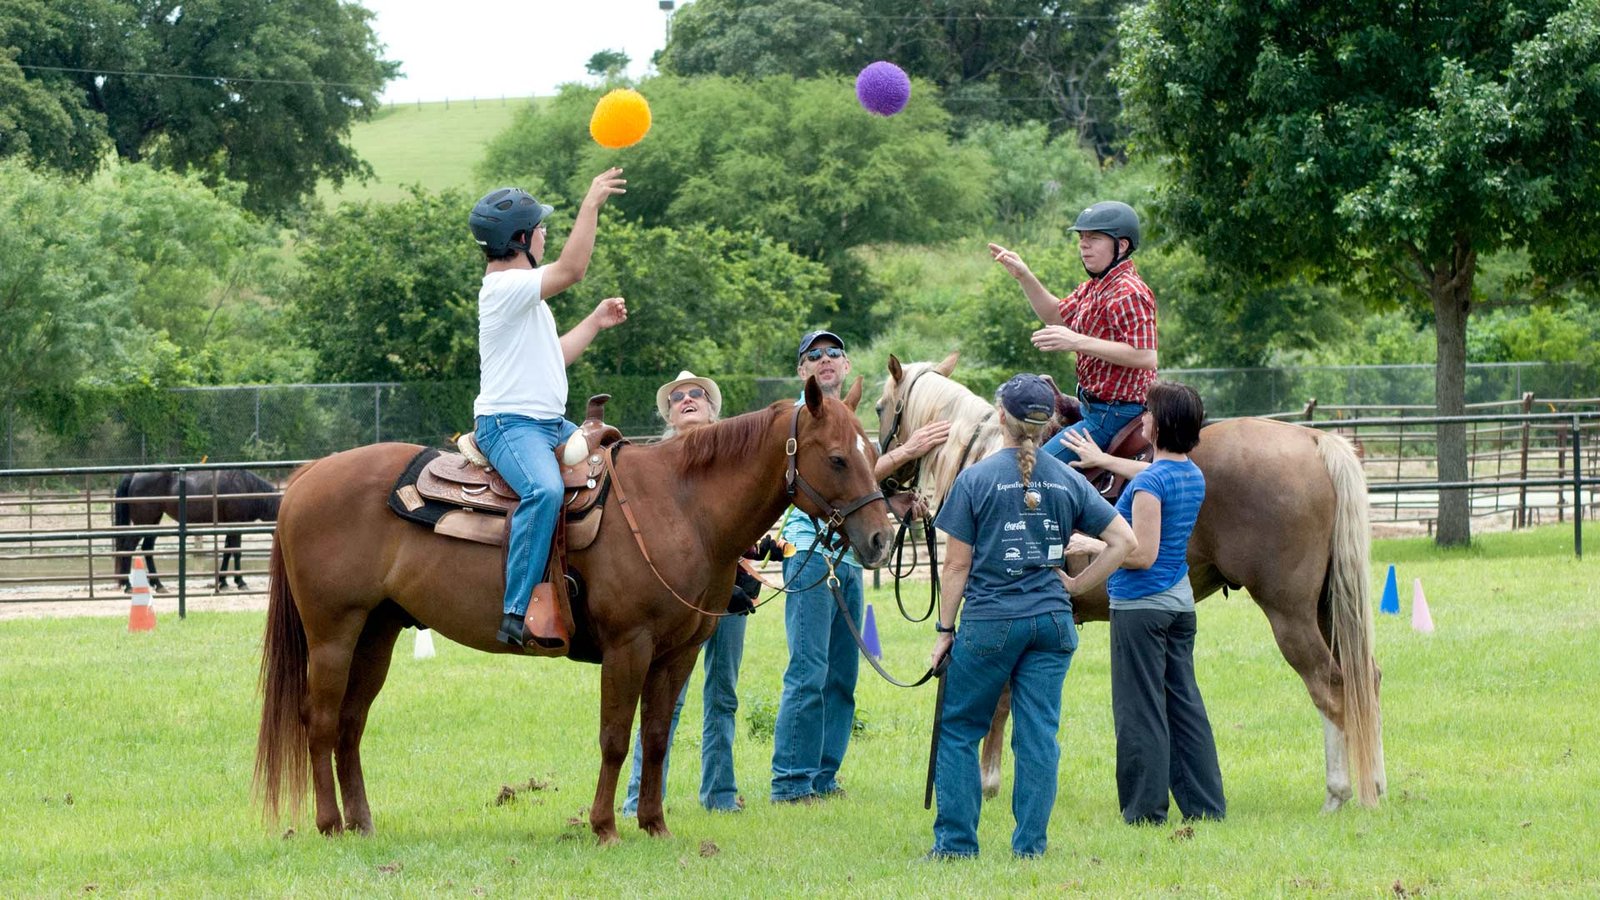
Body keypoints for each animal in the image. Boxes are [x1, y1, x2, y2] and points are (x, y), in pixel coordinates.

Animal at [114, 470, 283, 589]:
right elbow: (236, 552)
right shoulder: (236, 524)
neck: (245, 486)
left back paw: (158, 585)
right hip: (143, 522)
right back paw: (127, 585)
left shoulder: (229, 526)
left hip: (153, 522)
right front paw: (240, 582)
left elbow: (227, 552)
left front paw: (222, 582)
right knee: (129, 547)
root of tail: (134, 475)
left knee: (147, 548)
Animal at [256, 377, 896, 839]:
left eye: (872, 450)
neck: (680, 507)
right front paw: (604, 827)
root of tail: (307, 478)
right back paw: (329, 824)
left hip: (377, 633)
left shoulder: (679, 653)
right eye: (837, 458)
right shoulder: (628, 647)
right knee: (319, 722)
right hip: (333, 634)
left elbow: (656, 738)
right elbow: (615, 738)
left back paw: (362, 823)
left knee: (350, 725)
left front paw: (655, 825)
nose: (881, 539)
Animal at [876, 353, 1388, 810]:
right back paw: (1375, 785)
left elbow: (999, 696)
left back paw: (1339, 793)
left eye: (880, 408)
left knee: (1329, 684)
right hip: (1326, 608)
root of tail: (1313, 440)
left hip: (1289, 612)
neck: (991, 454)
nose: (886, 482)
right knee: (1365, 679)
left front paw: (987, 781)